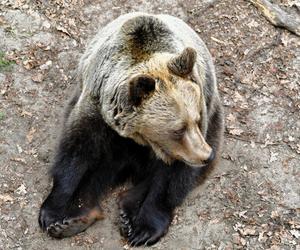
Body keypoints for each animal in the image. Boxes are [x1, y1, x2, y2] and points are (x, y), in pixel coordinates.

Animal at [38, 12, 224, 246]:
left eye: (196, 119)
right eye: (177, 129)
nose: (205, 155)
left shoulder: (199, 120)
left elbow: (172, 176)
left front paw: (144, 229)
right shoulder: (96, 110)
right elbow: (77, 152)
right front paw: (52, 214)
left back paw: (127, 213)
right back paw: (76, 219)